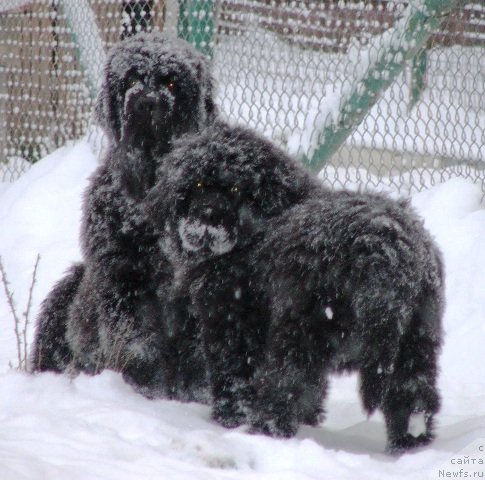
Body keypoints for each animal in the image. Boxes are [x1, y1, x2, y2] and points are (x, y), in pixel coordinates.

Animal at [31, 31, 216, 402]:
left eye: (171, 83)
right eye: (131, 79)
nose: (145, 102)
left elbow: (195, 353)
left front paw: (193, 398)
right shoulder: (122, 278)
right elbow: (135, 340)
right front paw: (142, 388)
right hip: (70, 289)